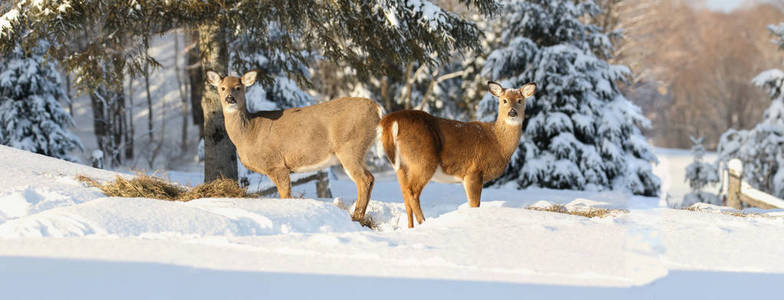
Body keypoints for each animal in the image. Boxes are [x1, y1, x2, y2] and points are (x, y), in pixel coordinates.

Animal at [205, 69, 382, 220]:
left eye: (238, 87)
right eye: (222, 88)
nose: (230, 98)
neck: (249, 133)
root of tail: (377, 109)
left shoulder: (277, 165)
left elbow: (285, 195)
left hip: (350, 147)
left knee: (364, 179)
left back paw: (357, 217)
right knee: (371, 178)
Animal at [376, 80, 536, 227]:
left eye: (520, 100)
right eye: (504, 100)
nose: (512, 112)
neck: (497, 142)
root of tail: (390, 121)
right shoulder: (474, 170)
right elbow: (475, 204)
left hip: (401, 165)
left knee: (404, 194)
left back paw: (411, 227)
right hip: (423, 160)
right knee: (412, 192)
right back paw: (424, 223)